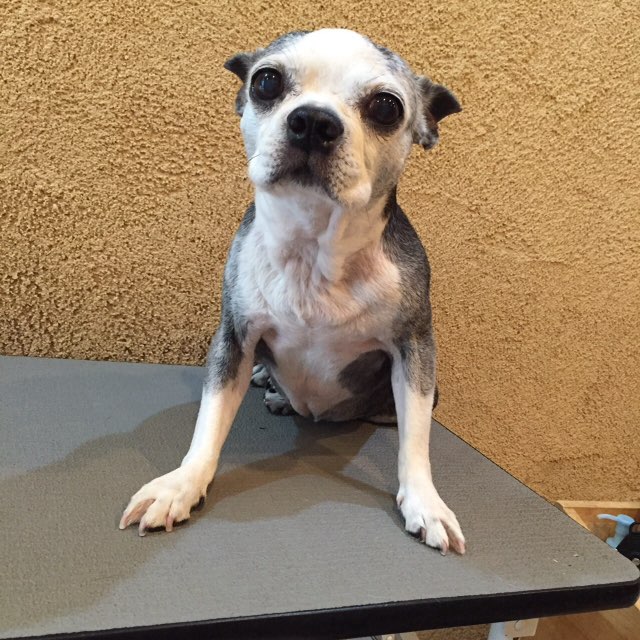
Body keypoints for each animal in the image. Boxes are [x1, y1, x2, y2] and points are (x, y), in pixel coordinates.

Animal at [120, 28, 465, 554]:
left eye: (386, 107)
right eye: (266, 81)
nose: (314, 121)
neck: (311, 247)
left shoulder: (415, 349)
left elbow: (416, 441)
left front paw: (425, 503)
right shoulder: (234, 339)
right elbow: (209, 424)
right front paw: (181, 485)